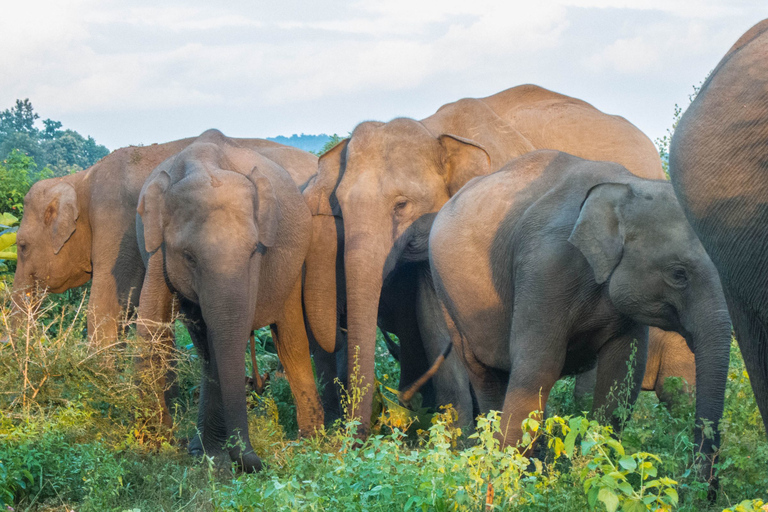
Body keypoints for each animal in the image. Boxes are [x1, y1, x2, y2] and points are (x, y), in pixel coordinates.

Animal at [135, 129, 320, 472]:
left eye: (253, 251)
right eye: (189, 257)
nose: (257, 461)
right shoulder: (158, 250)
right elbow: (151, 327)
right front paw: (153, 447)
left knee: (290, 340)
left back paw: (312, 442)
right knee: (206, 348)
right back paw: (202, 449)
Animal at [298, 85, 684, 436]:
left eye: (401, 204)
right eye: (339, 206)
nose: (357, 439)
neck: (432, 128)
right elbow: (432, 316)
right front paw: (457, 441)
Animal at [428, 150, 728, 482]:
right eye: (678, 274)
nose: (699, 486)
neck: (626, 185)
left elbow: (622, 373)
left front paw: (593, 472)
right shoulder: (545, 266)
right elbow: (539, 366)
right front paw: (513, 479)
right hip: (447, 295)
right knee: (484, 374)